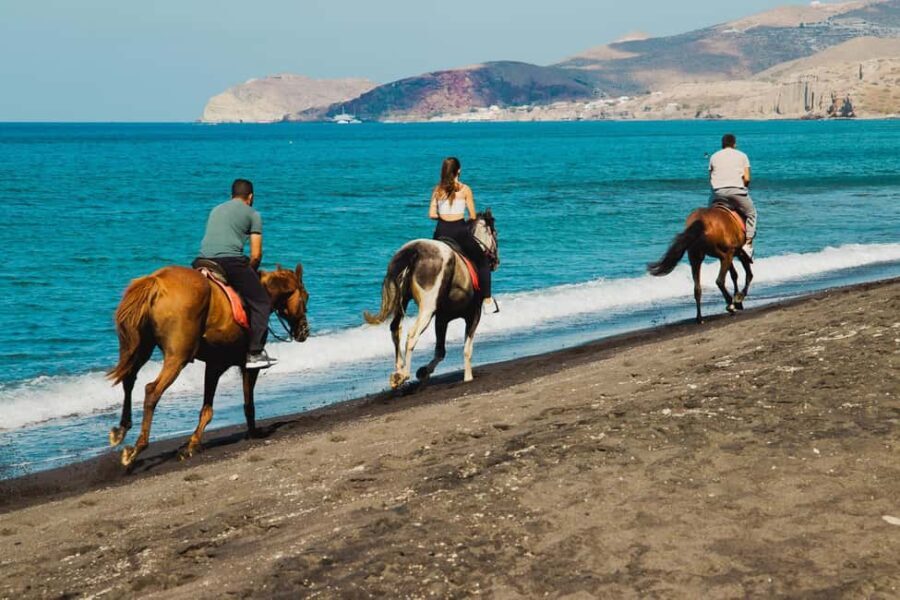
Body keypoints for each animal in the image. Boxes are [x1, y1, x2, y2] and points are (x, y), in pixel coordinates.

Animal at [106, 263, 309, 468]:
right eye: (305, 297)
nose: (304, 331)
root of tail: (157, 281)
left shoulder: (214, 365)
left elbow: (207, 409)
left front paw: (192, 444)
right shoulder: (246, 367)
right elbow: (248, 403)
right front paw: (252, 432)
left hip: (141, 348)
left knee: (129, 380)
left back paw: (121, 430)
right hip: (177, 357)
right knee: (152, 390)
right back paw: (137, 448)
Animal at [364, 211, 499, 388]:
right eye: (495, 234)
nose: (496, 261)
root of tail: (415, 251)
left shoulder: (442, 318)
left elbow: (440, 351)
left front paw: (424, 372)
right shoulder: (473, 314)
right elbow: (466, 349)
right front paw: (468, 377)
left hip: (403, 301)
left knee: (395, 329)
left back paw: (398, 371)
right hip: (427, 309)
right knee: (412, 336)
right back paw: (403, 375)